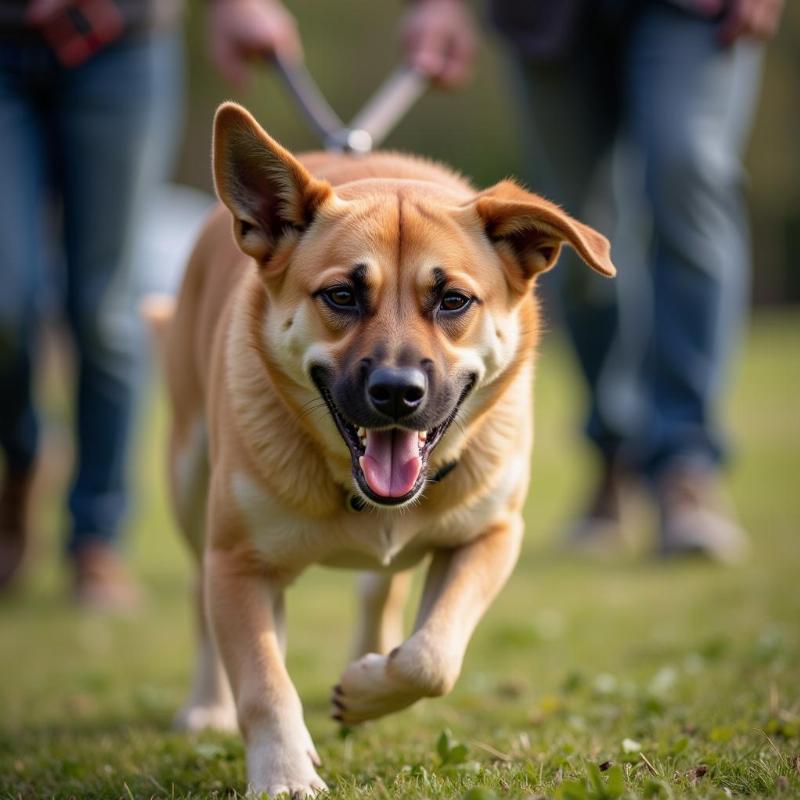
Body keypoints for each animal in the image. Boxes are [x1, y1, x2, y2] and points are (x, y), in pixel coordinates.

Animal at [161, 103, 612, 796]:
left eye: (453, 300)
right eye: (342, 296)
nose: (398, 392)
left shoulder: (491, 534)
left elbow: (432, 657)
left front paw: (369, 687)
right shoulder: (238, 564)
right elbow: (265, 684)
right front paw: (285, 773)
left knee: (380, 591)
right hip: (189, 482)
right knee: (199, 598)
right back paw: (207, 705)